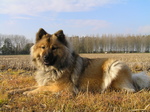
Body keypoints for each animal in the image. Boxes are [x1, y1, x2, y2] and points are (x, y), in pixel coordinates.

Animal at [8, 28, 150, 96]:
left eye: (54, 48)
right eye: (43, 47)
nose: (46, 58)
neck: (54, 68)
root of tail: (132, 77)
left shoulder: (64, 87)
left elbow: (42, 88)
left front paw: (29, 93)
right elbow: (30, 86)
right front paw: (14, 90)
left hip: (114, 65)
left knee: (128, 90)